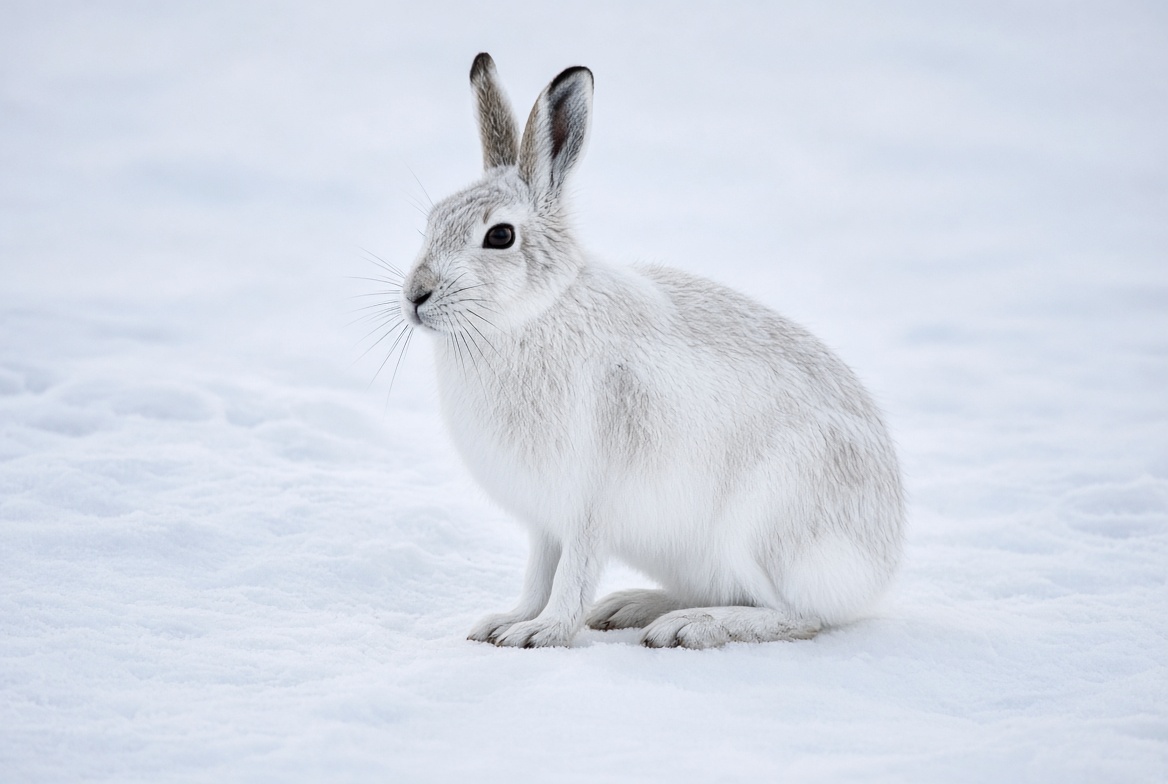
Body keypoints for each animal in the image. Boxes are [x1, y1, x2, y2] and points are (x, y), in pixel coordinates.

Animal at [398, 53, 905, 649]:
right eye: (432, 222)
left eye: (500, 236)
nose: (415, 296)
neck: (535, 313)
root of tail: (880, 564)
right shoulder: (545, 521)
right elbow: (538, 575)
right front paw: (504, 622)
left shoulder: (588, 507)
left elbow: (570, 577)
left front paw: (542, 634)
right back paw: (631, 607)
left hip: (768, 529)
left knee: (798, 615)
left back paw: (691, 627)